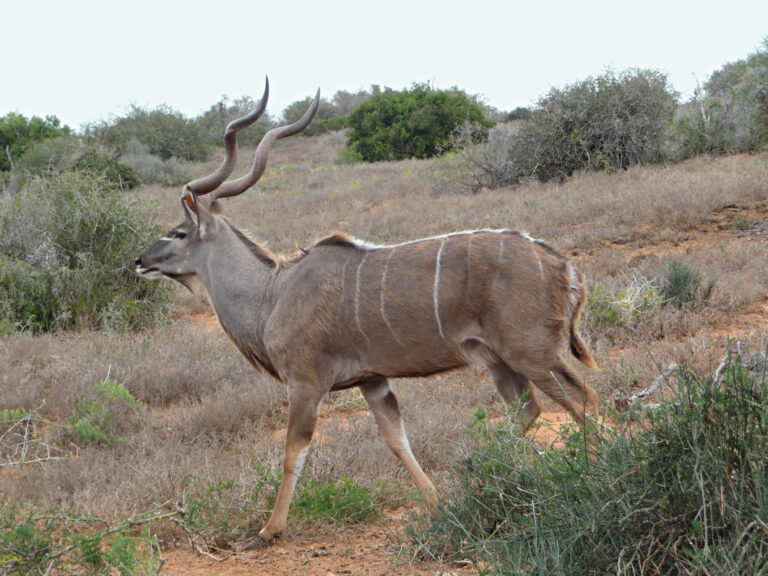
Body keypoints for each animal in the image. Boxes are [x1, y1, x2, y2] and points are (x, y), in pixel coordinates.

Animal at [135, 79, 600, 544]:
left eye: (178, 232)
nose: (140, 260)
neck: (273, 293)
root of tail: (564, 266)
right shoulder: (373, 381)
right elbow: (396, 439)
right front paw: (438, 502)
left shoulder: (306, 383)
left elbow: (293, 451)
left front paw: (269, 530)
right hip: (501, 361)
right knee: (528, 411)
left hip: (534, 353)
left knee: (583, 400)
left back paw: (593, 474)